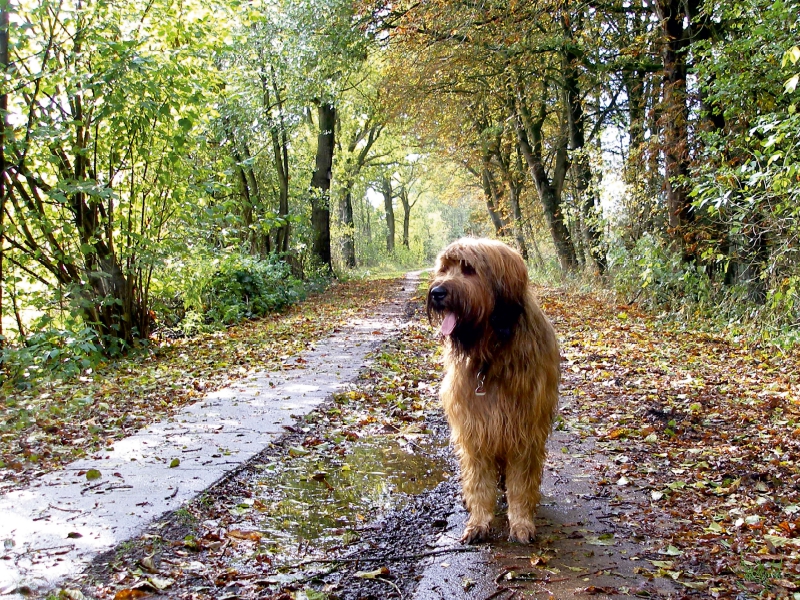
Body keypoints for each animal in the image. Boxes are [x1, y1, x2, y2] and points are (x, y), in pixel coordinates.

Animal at [428, 238, 560, 544]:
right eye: (444, 268)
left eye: (469, 269)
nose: (437, 292)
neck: (491, 352)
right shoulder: (475, 426)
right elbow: (479, 481)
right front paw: (479, 521)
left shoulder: (524, 429)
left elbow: (521, 482)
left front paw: (521, 522)